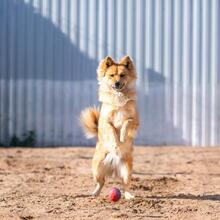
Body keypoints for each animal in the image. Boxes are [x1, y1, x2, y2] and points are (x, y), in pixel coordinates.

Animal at [81, 55, 139, 199]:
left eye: (122, 75)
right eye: (112, 75)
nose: (117, 83)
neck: (118, 98)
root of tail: (114, 165)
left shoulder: (135, 120)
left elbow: (126, 123)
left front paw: (122, 137)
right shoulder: (105, 121)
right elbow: (111, 129)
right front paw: (115, 142)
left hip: (127, 169)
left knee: (125, 184)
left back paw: (129, 196)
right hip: (97, 168)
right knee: (101, 182)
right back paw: (95, 193)